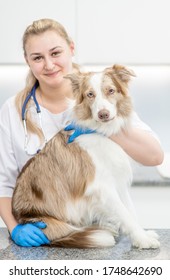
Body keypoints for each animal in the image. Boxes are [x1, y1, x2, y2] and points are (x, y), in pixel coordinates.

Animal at [11, 64, 159, 248]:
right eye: (90, 94)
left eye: (111, 90)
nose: (103, 114)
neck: (103, 132)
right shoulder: (102, 186)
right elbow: (125, 214)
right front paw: (143, 239)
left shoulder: (117, 180)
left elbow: (130, 210)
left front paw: (142, 235)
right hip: (49, 223)